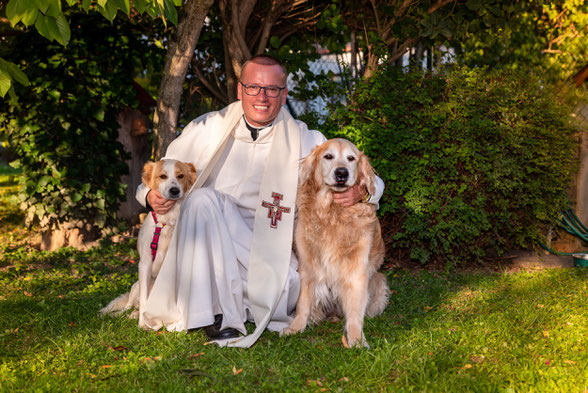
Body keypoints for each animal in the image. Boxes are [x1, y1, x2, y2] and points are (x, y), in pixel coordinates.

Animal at [99, 159, 195, 328]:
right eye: (163, 176)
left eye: (181, 176)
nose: (175, 190)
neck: (165, 222)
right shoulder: (145, 262)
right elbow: (144, 301)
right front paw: (142, 325)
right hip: (135, 286)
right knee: (127, 307)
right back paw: (119, 315)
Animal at [282, 138, 388, 346]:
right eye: (328, 156)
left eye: (351, 158)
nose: (342, 173)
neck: (331, 212)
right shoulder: (308, 268)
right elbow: (303, 304)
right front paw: (296, 328)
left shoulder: (356, 272)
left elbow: (354, 311)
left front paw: (356, 339)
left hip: (379, 280)